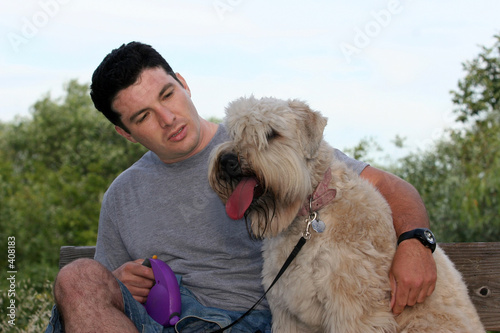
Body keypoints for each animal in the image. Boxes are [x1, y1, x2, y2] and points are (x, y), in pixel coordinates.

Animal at [207, 94, 484, 330]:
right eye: (234, 131)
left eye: (271, 133)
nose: (228, 160)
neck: (310, 214)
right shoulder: (287, 311)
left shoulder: (351, 307)